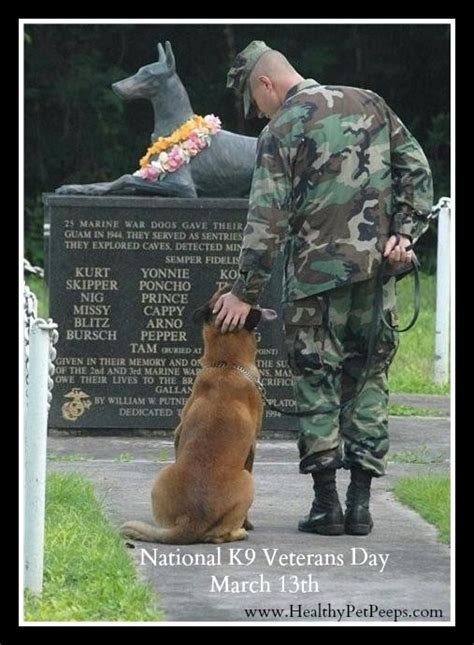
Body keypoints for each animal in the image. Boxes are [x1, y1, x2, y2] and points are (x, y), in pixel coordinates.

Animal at [121, 292, 278, 544]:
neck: (226, 365)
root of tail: (192, 520)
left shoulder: (177, 434)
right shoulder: (253, 448)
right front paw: (248, 524)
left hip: (163, 474)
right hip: (247, 480)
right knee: (219, 536)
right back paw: (240, 531)